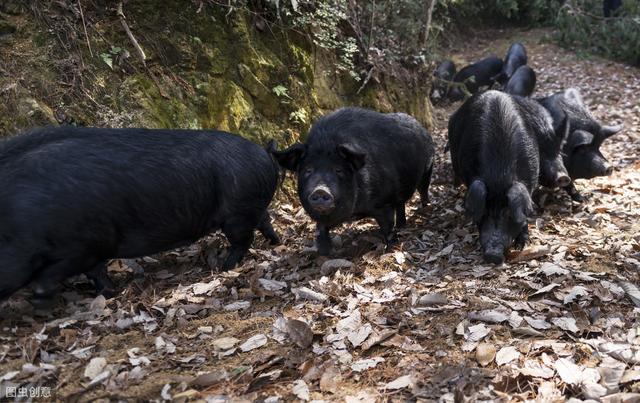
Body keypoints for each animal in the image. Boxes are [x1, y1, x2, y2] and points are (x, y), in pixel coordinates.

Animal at [0, 127, 280, 304]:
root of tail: (263, 152)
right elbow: (95, 272)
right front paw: (108, 293)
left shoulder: (86, 243)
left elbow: (58, 273)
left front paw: (39, 299)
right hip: (249, 207)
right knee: (264, 222)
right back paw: (274, 243)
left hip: (237, 212)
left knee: (244, 239)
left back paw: (224, 266)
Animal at [270, 108, 436, 256]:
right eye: (308, 170)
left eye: (338, 170)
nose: (320, 189)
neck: (354, 212)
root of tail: (421, 126)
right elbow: (321, 232)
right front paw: (326, 254)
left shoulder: (384, 203)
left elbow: (387, 226)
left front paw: (390, 248)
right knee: (401, 205)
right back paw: (402, 226)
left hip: (428, 169)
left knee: (422, 191)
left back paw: (425, 209)